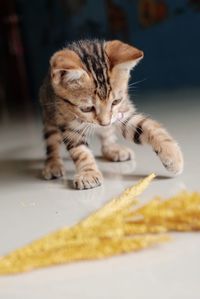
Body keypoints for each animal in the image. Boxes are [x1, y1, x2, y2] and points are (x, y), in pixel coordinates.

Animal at [39, 39, 184, 190]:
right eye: (87, 108)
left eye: (116, 101)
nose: (104, 122)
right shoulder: (68, 124)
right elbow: (80, 150)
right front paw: (88, 173)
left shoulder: (121, 113)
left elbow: (146, 126)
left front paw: (173, 156)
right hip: (49, 113)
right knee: (52, 140)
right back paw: (53, 164)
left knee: (106, 135)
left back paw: (113, 149)